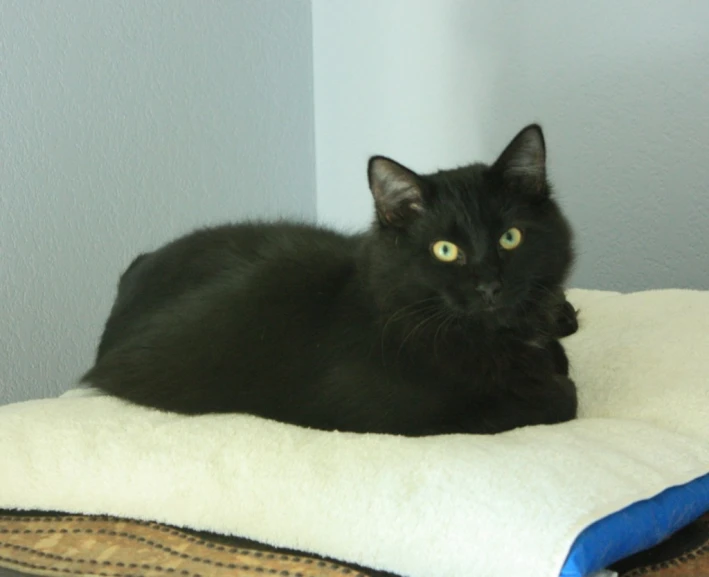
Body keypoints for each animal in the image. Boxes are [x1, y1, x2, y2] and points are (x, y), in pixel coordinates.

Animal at [84, 124, 580, 434]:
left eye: (510, 237)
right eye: (445, 250)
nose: (490, 286)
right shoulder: (397, 417)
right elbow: (558, 398)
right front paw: (552, 381)